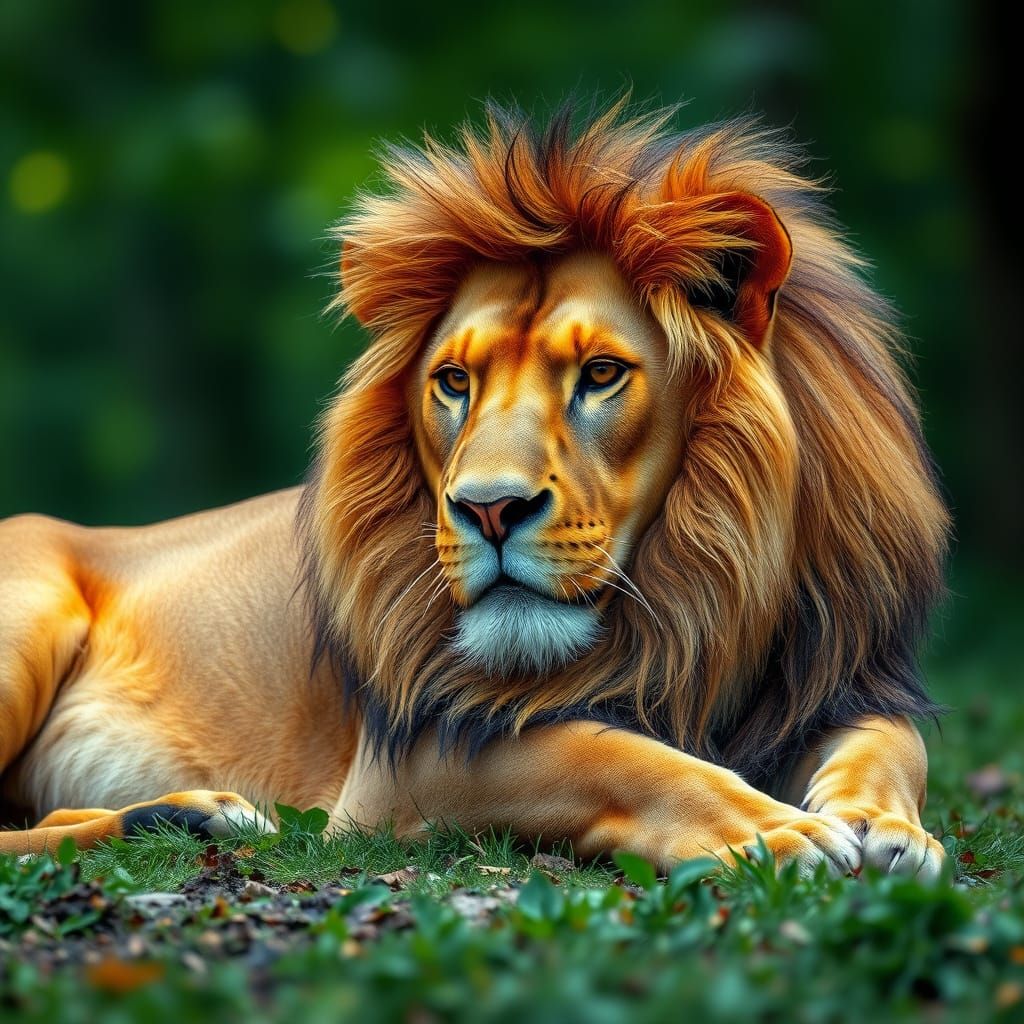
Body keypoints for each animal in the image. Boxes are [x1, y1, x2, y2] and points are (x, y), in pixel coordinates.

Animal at [0, 100, 948, 879]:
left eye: (601, 373)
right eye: (453, 383)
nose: (490, 509)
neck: (697, 595)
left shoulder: (834, 673)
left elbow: (895, 743)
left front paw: (889, 830)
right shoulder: (411, 754)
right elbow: (608, 753)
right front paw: (773, 831)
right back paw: (189, 818)